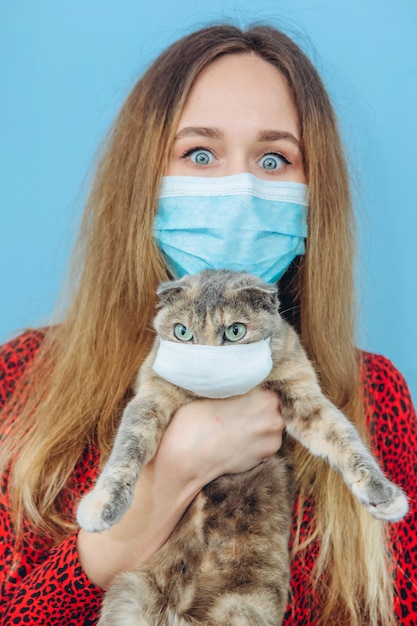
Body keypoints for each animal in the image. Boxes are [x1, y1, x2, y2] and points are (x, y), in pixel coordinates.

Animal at [76, 268, 408, 624]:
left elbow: (342, 436)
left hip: (246, 607)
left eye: (235, 331)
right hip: (130, 595)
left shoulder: (303, 394)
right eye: (182, 332)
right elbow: (128, 449)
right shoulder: (151, 396)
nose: (206, 365)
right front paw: (102, 505)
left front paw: (383, 494)